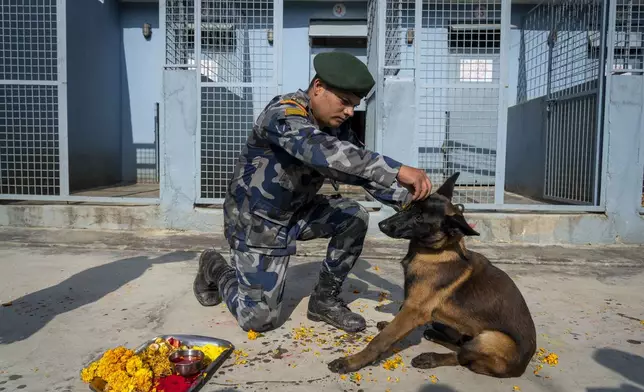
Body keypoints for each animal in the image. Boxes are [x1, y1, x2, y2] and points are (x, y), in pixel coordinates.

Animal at [330, 173, 536, 378]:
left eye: (419, 218)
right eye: (409, 206)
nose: (382, 225)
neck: (435, 251)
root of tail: (520, 368)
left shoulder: (414, 309)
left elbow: (381, 340)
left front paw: (351, 362)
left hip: (490, 338)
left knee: (462, 357)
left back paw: (430, 357)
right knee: (460, 344)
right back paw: (434, 333)